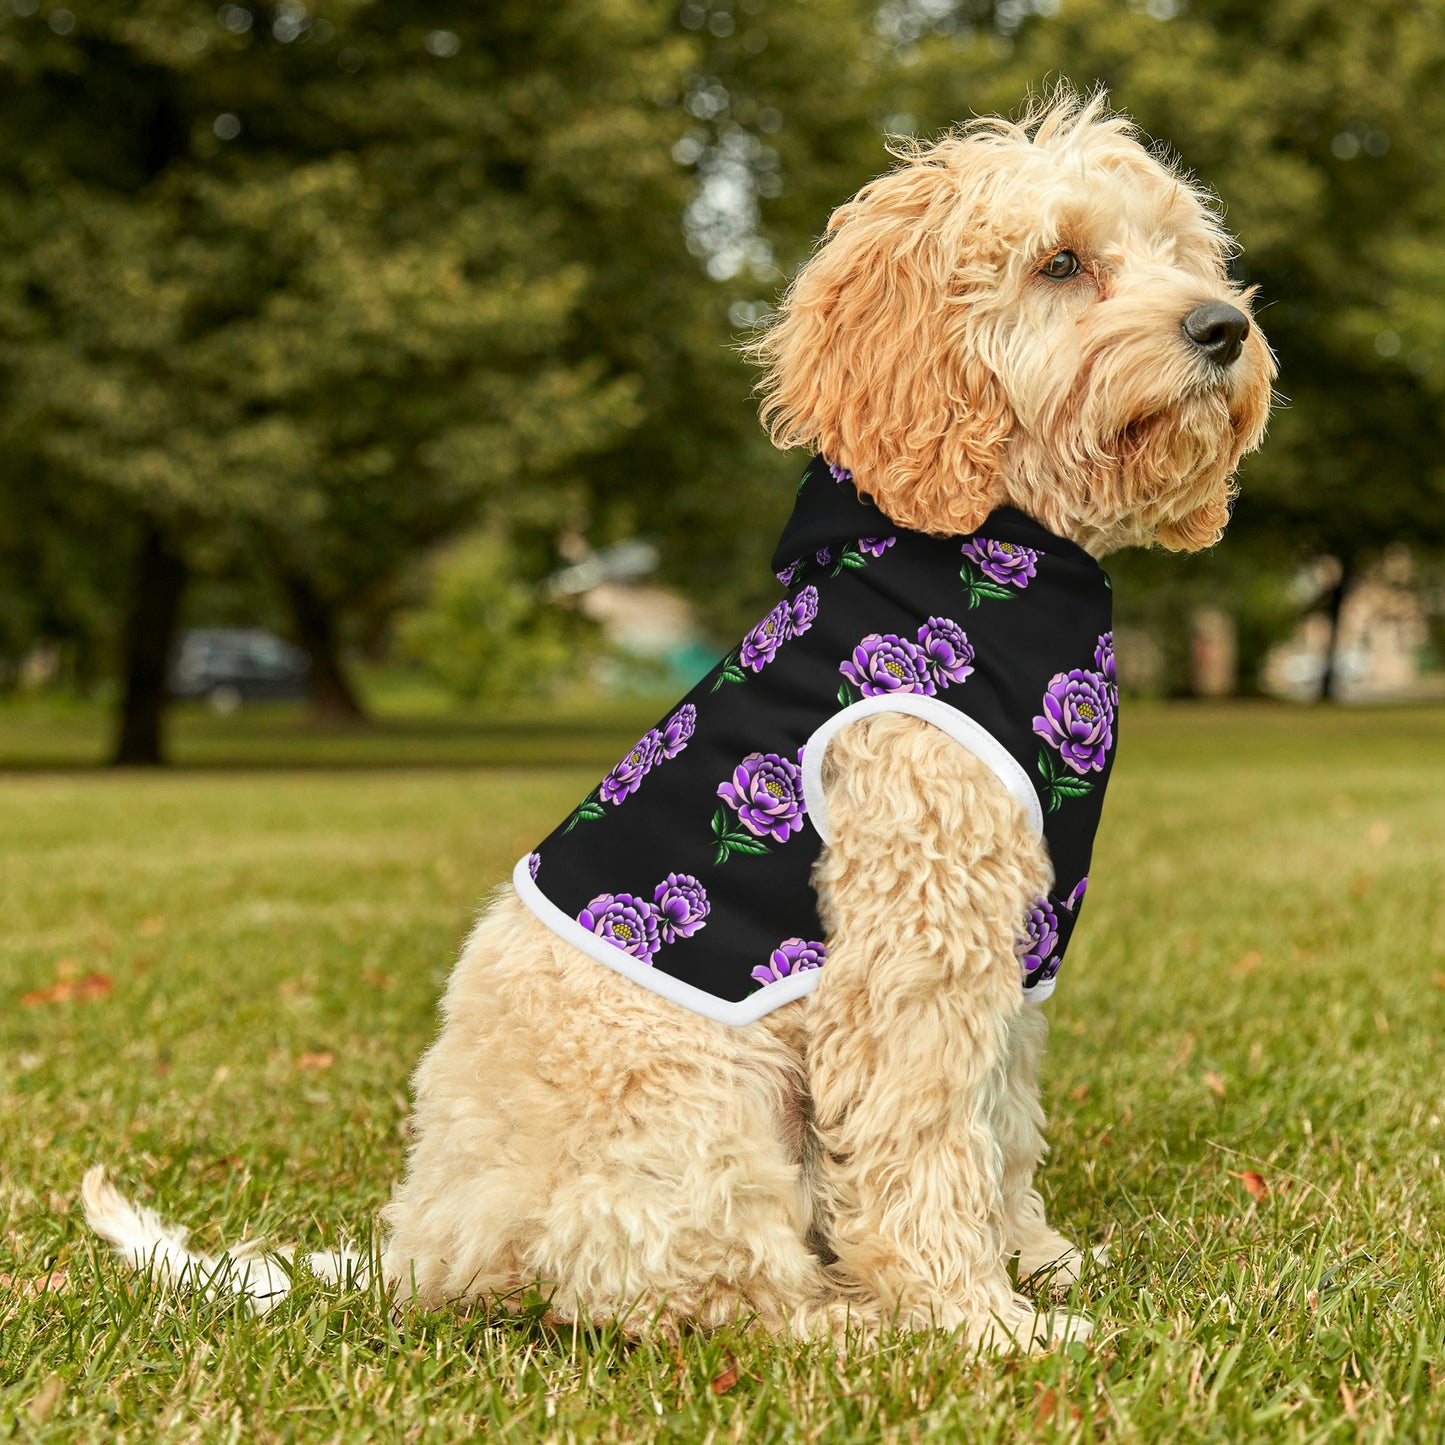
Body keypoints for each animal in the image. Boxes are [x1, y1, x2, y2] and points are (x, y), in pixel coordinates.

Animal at [84, 93, 1271, 1352]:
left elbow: (998, 1122)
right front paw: (977, 1319)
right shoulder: (912, 941)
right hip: (704, 1102)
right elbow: (924, 1138)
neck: (989, 551)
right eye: (1059, 262)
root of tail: (424, 1247)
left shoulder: (1013, 945)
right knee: (699, 1290)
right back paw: (851, 1323)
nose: (1222, 327)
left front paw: (1035, 1260)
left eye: (1180, 252)